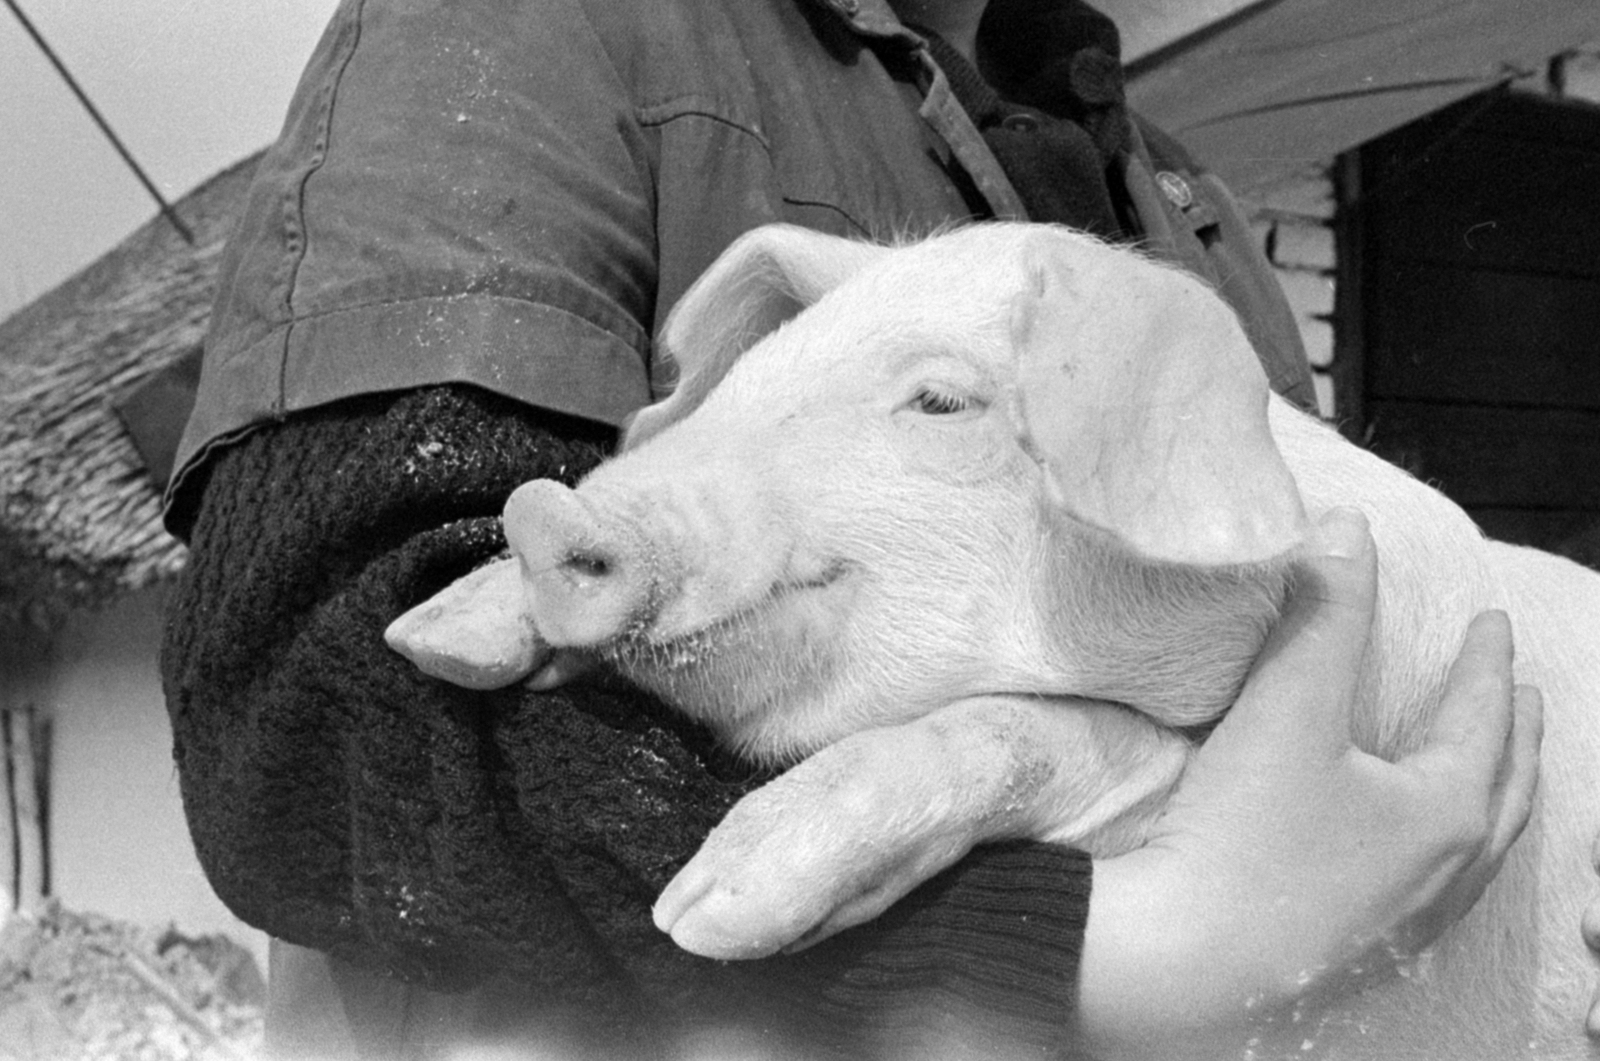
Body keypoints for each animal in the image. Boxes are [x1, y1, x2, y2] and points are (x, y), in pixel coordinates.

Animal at [387, 222, 1600, 1059]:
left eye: (939, 403)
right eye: (752, 375)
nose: (545, 513)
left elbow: (1034, 730)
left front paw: (710, 913)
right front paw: (431, 635)